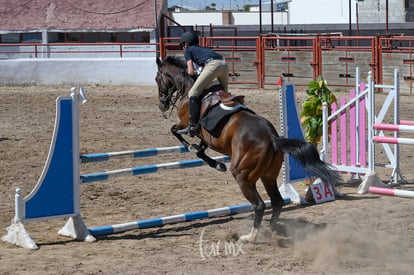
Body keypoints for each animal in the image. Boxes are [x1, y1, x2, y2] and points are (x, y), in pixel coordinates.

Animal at [154, 56, 342, 244]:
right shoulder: (208, 138)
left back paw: (250, 236)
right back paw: (272, 230)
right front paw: (216, 163)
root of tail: (272, 137)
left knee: (259, 204)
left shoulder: (187, 124)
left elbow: (176, 132)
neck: (188, 88)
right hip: (268, 175)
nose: (162, 105)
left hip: (242, 175)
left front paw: (193, 149)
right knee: (277, 201)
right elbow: (200, 150)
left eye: (157, 79)